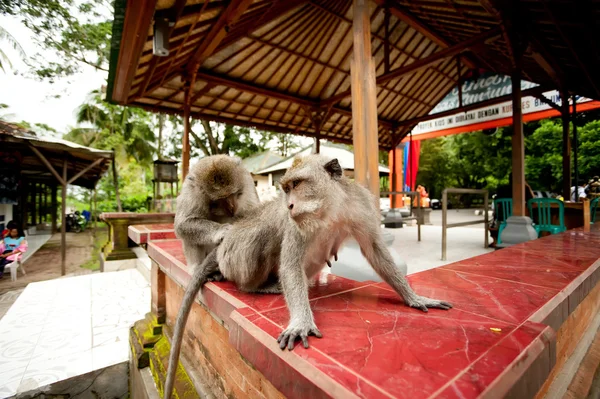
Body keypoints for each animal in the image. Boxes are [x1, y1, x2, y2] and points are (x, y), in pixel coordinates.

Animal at [164, 155, 450, 399]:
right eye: (286, 188)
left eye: (297, 184)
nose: (289, 204)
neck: (329, 209)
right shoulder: (295, 223)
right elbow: (290, 264)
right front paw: (301, 322)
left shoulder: (360, 207)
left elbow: (376, 251)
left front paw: (413, 297)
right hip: (233, 258)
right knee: (261, 233)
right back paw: (255, 287)